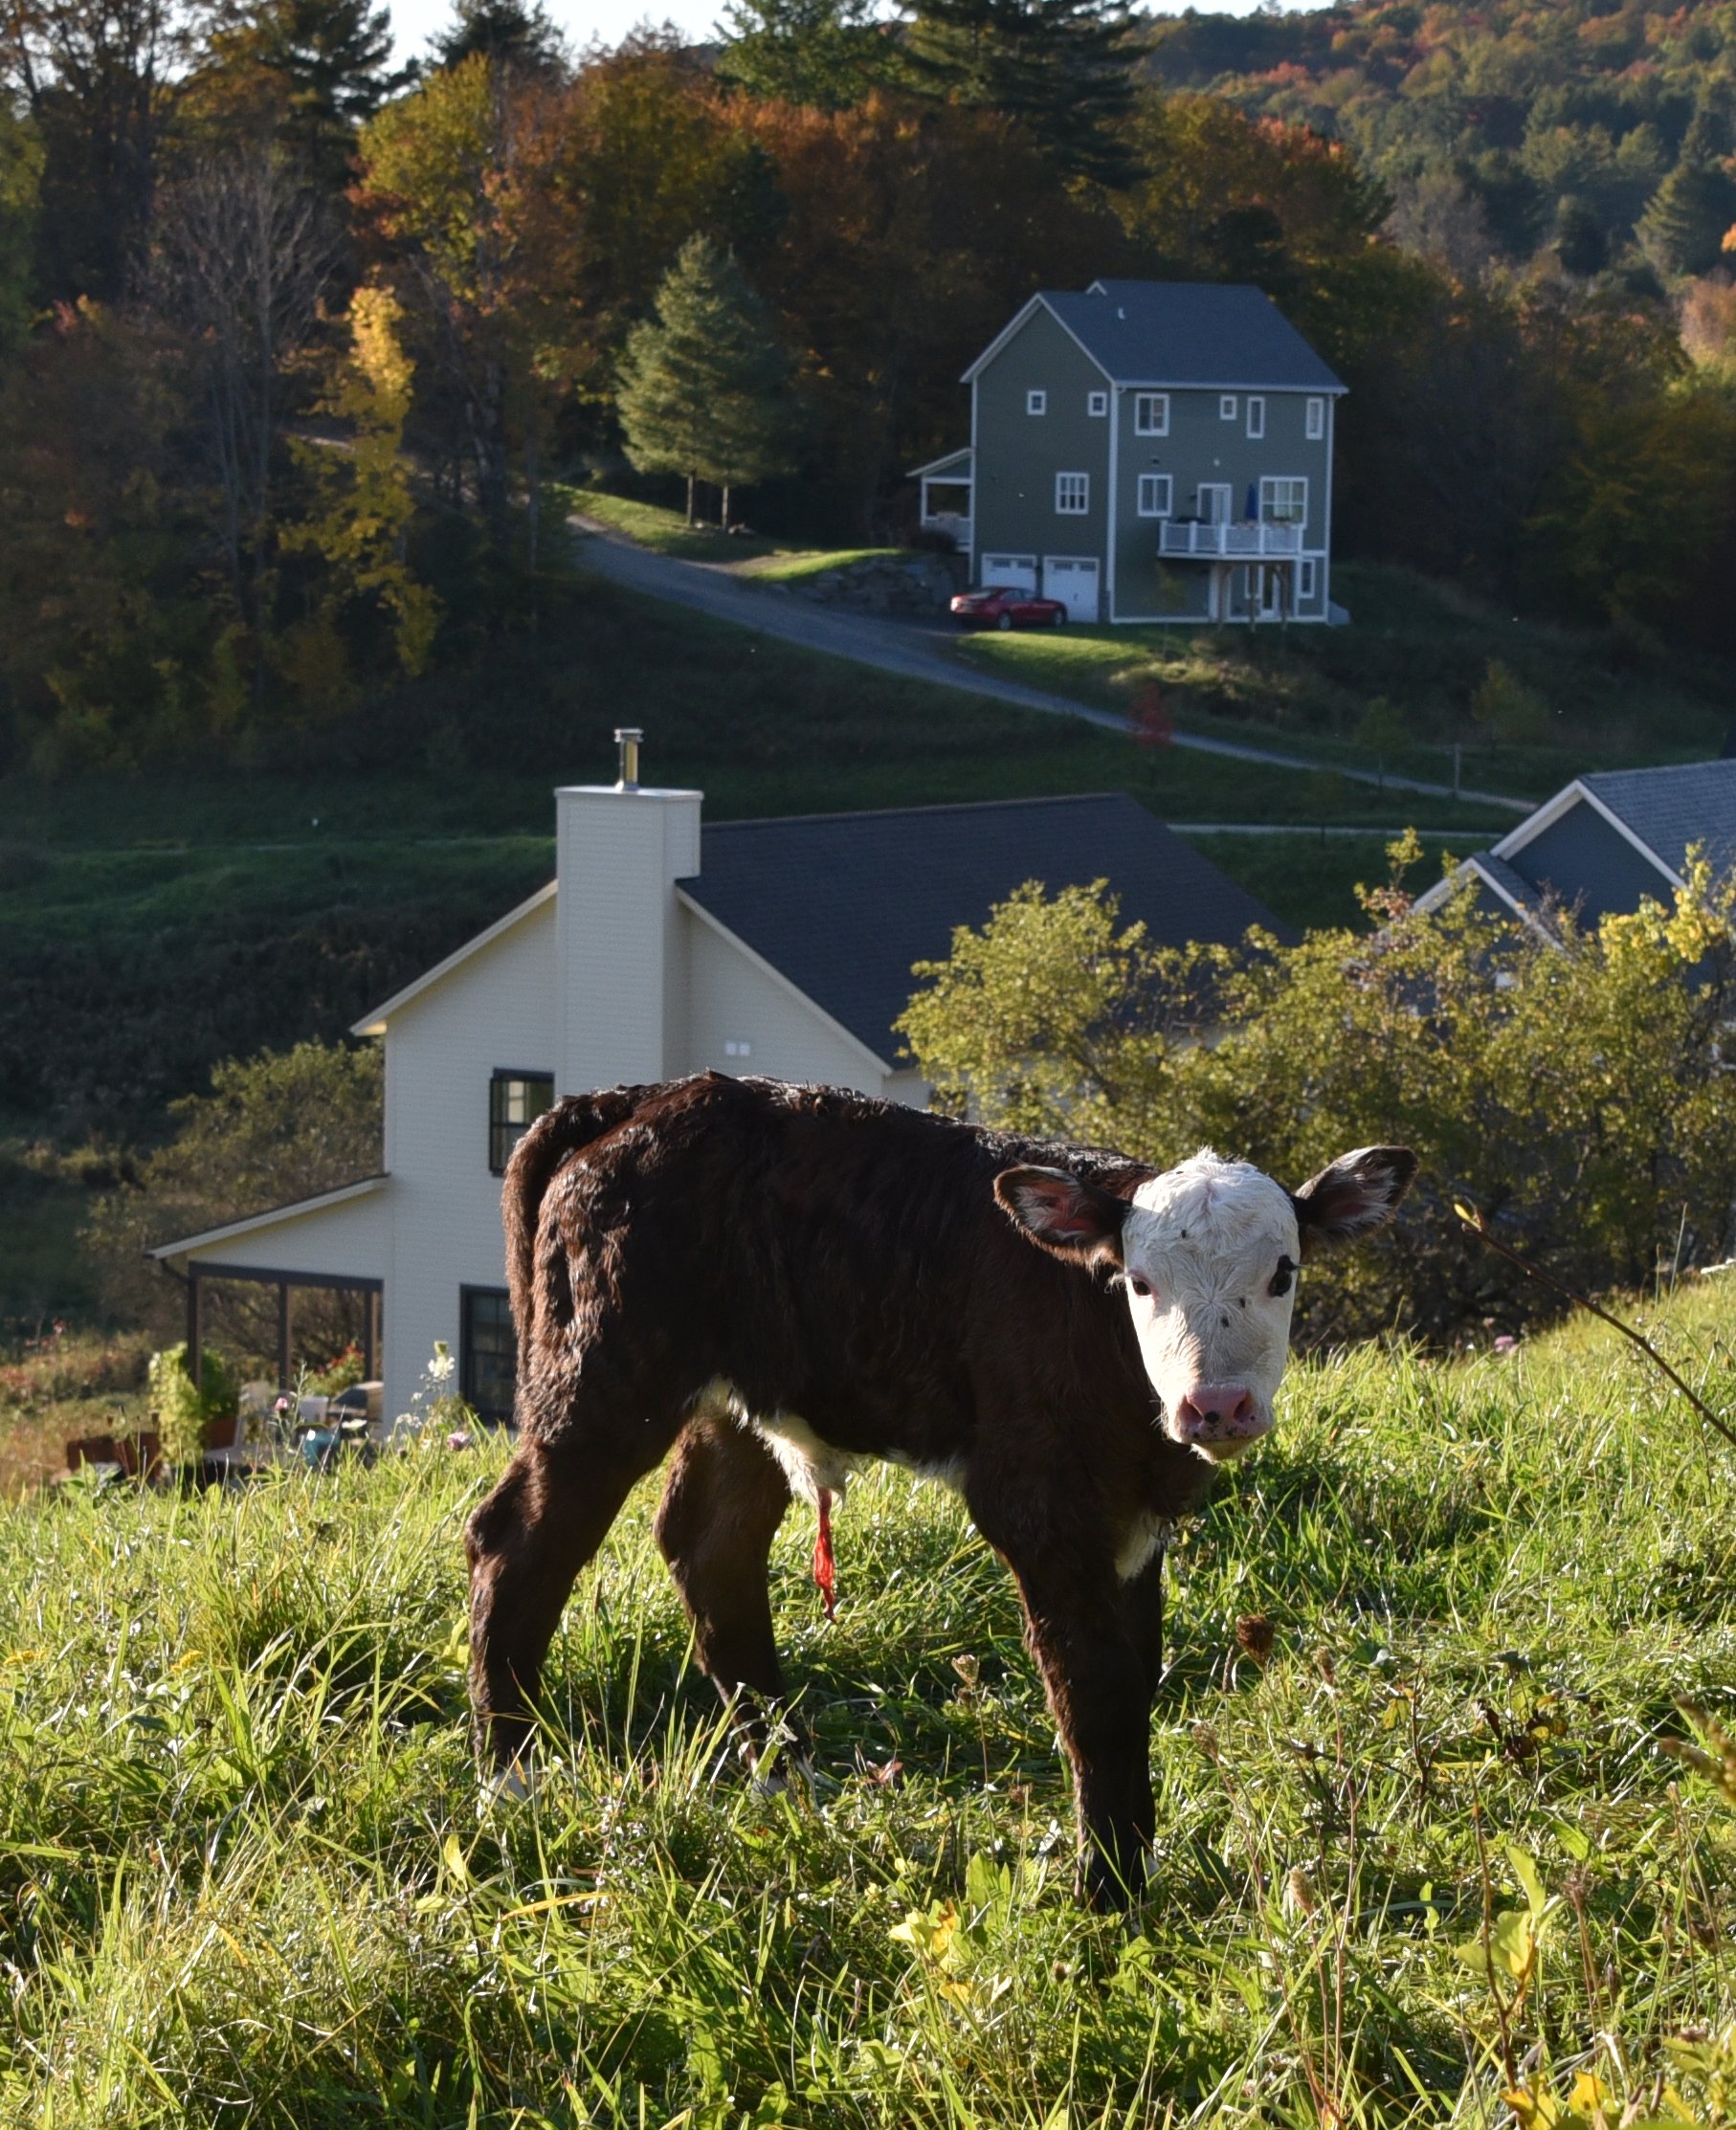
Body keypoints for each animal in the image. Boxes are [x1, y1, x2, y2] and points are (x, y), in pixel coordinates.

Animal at [464, 1073, 1413, 1908]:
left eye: (1283, 1272)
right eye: (1139, 1283)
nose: (1215, 1405)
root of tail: (639, 1098)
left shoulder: (1133, 1520)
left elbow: (1136, 1674)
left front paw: (1132, 1861)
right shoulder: (1034, 1499)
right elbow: (1092, 1686)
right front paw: (1108, 1892)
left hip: (739, 1398)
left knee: (711, 1546)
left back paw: (786, 1777)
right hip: (603, 1374)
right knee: (516, 1543)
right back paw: (511, 1780)